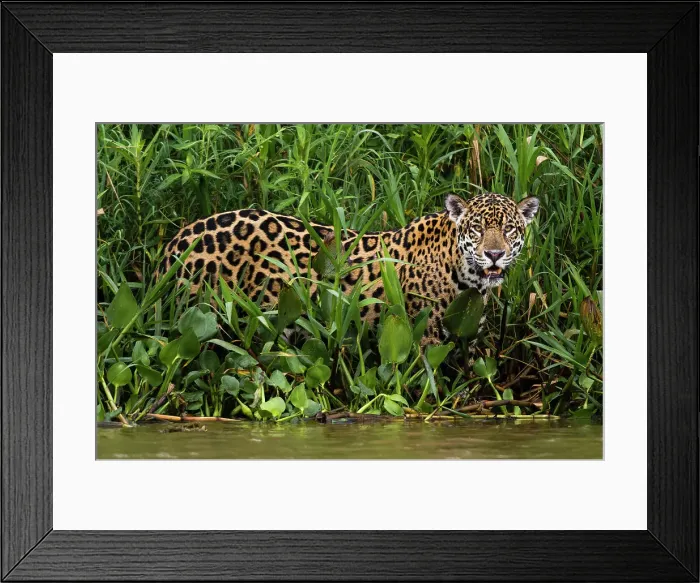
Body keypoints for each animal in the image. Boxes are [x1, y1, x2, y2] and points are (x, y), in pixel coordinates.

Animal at [161, 192, 539, 346]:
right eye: (476, 229)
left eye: (509, 229)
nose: (494, 254)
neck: (470, 280)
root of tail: (176, 240)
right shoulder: (424, 333)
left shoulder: (467, 334)